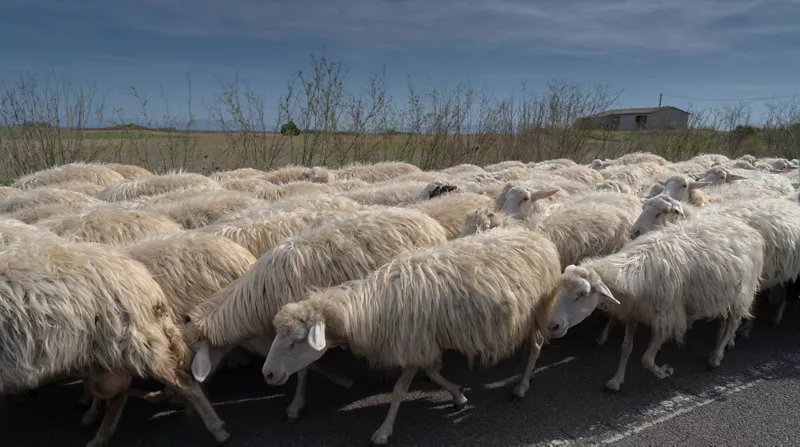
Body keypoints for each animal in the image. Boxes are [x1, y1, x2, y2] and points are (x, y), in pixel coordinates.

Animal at [0, 240, 230, 446]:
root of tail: (146, 281)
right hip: (108, 354)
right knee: (118, 394)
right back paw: (101, 431)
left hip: (135, 345)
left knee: (184, 383)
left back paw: (217, 429)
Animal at [189, 206, 450, 424]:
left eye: (202, 354)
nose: (193, 400)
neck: (257, 296)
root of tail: (427, 220)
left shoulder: (303, 322)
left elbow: (304, 368)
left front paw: (298, 405)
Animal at [264, 226, 564, 446]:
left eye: (297, 341)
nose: (267, 373)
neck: (368, 308)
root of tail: (537, 237)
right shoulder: (425, 343)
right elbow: (432, 373)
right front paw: (458, 395)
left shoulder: (411, 345)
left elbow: (398, 391)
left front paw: (383, 432)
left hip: (537, 308)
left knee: (536, 345)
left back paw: (522, 386)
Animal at [548, 214, 764, 392]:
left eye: (582, 294)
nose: (553, 325)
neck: (634, 269)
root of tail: (746, 228)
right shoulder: (633, 312)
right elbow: (626, 348)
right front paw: (616, 381)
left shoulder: (666, 318)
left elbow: (646, 359)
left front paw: (664, 372)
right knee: (726, 320)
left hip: (742, 292)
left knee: (733, 322)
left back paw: (717, 356)